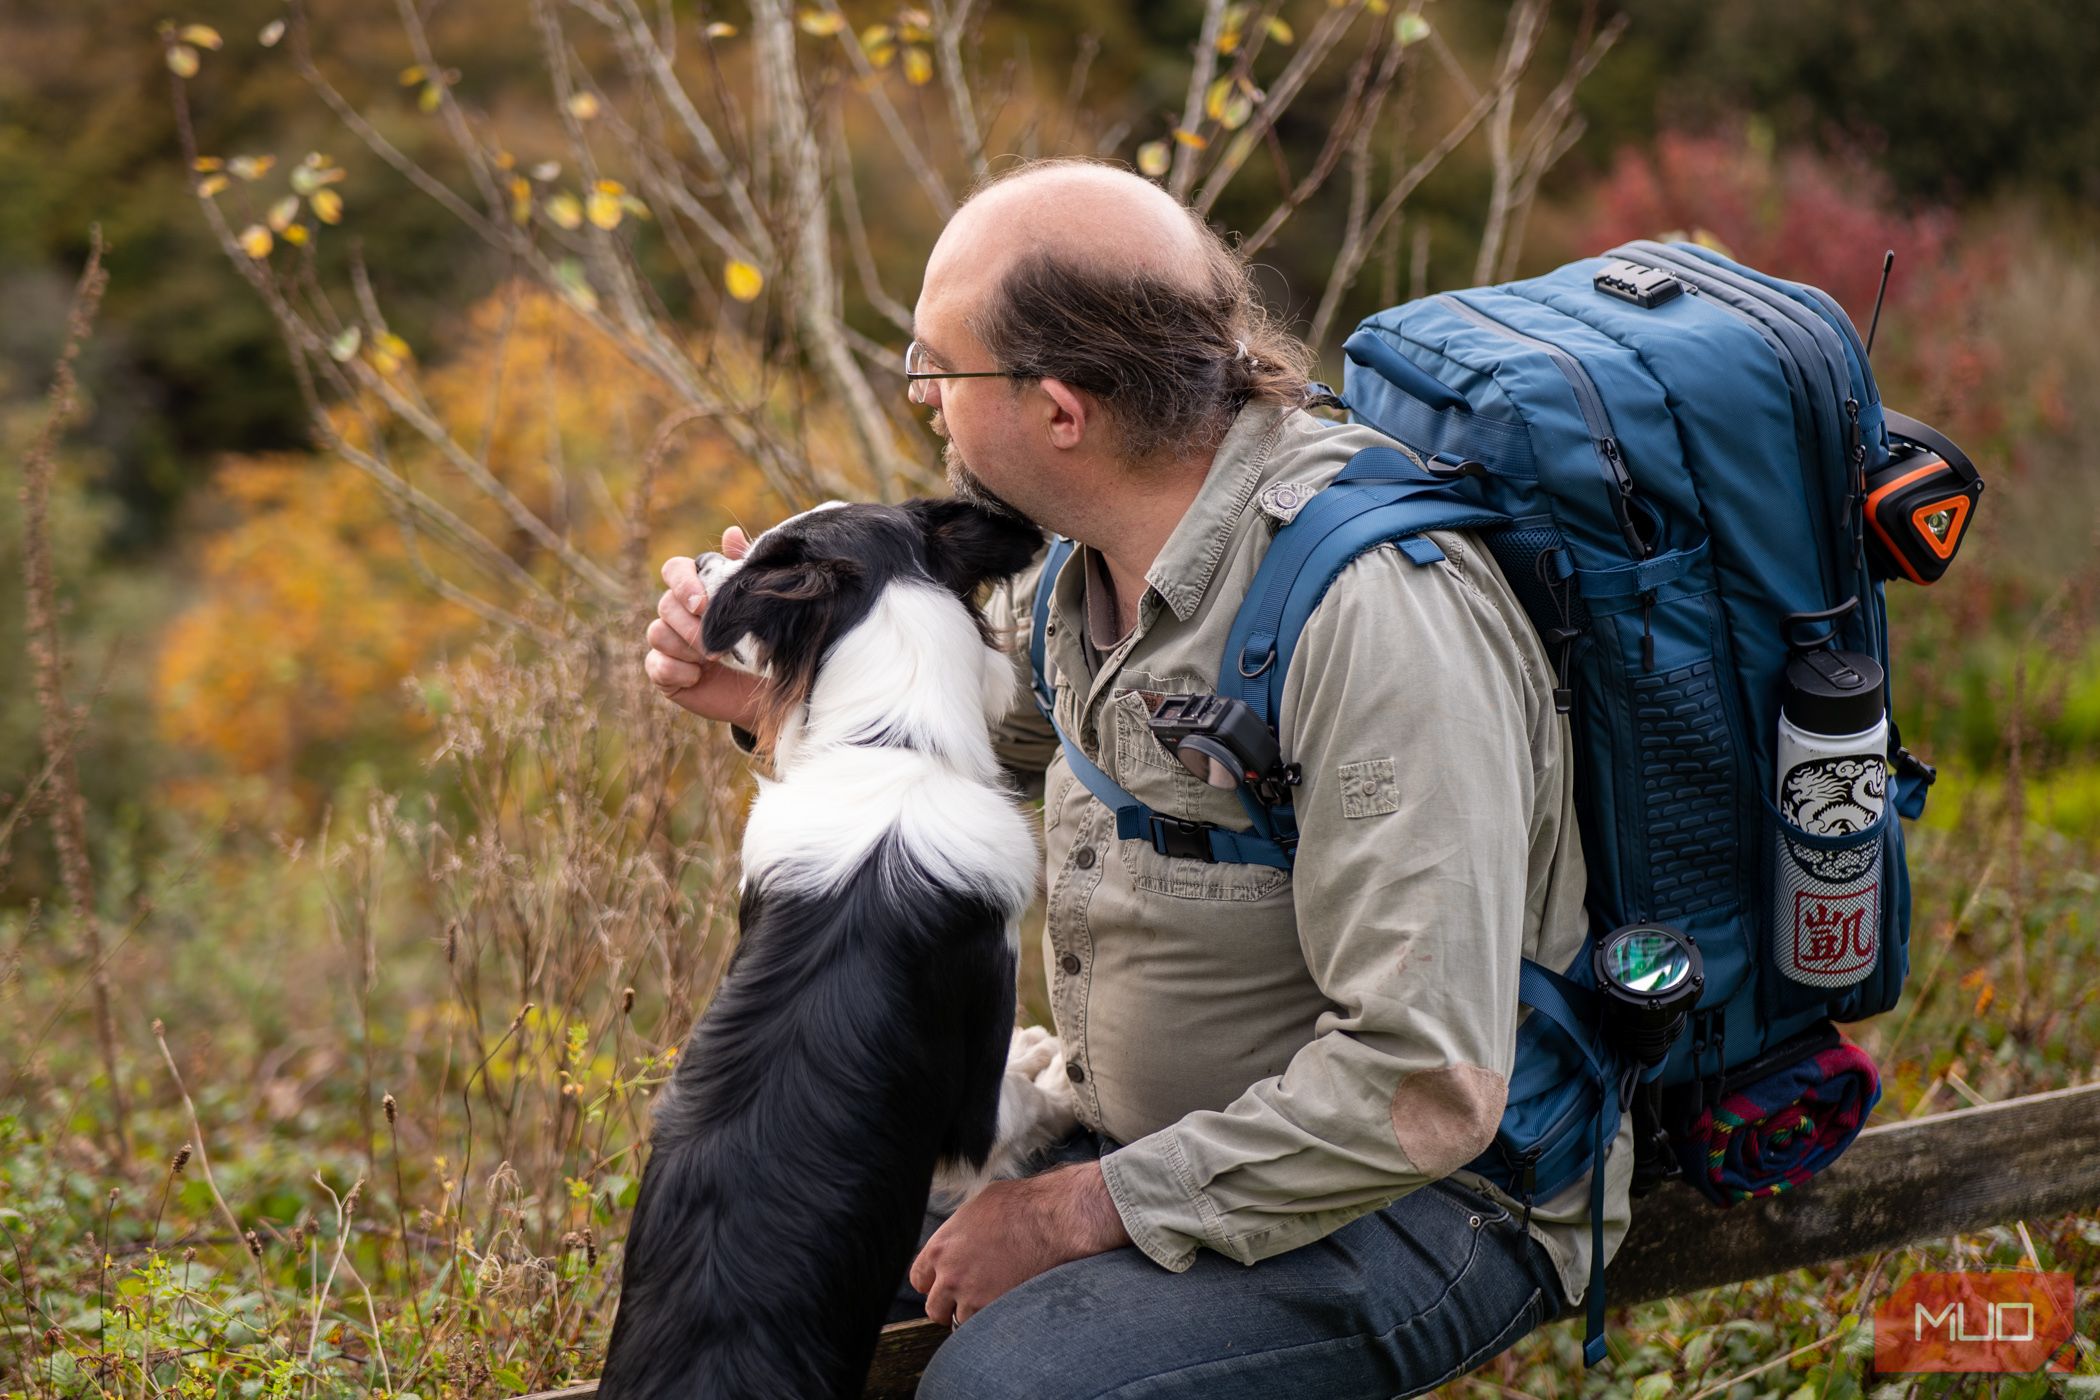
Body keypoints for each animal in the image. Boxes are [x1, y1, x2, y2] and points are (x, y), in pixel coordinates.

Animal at [600, 497, 1075, 1393]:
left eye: (758, 555)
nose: (701, 566)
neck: (895, 748)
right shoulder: (968, 1111)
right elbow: (1023, 1099)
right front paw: (1050, 1065)